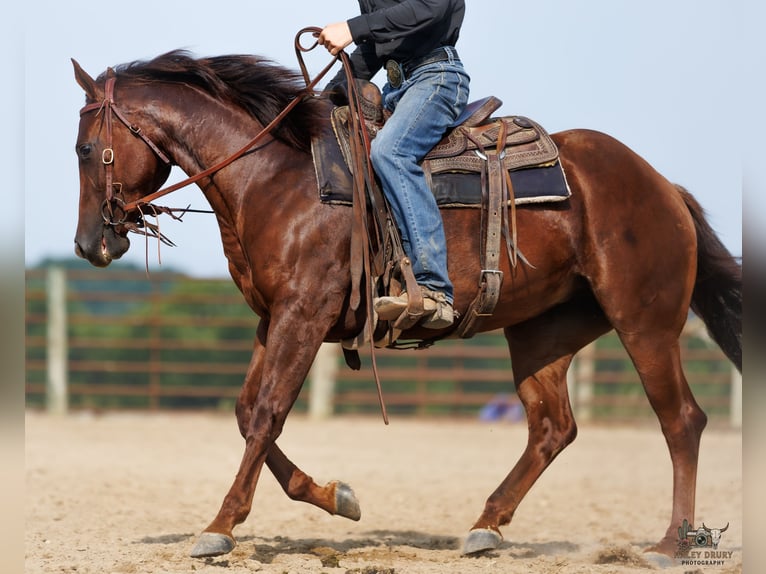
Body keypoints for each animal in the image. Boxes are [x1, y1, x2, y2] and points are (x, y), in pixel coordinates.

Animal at [71, 49, 741, 561]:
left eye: (83, 148)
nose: (89, 244)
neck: (275, 176)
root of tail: (662, 186)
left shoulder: (303, 315)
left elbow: (265, 415)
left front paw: (218, 527)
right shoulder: (273, 318)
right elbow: (244, 412)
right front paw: (336, 497)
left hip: (645, 321)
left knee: (681, 420)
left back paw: (673, 543)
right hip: (542, 332)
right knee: (553, 426)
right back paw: (485, 527)